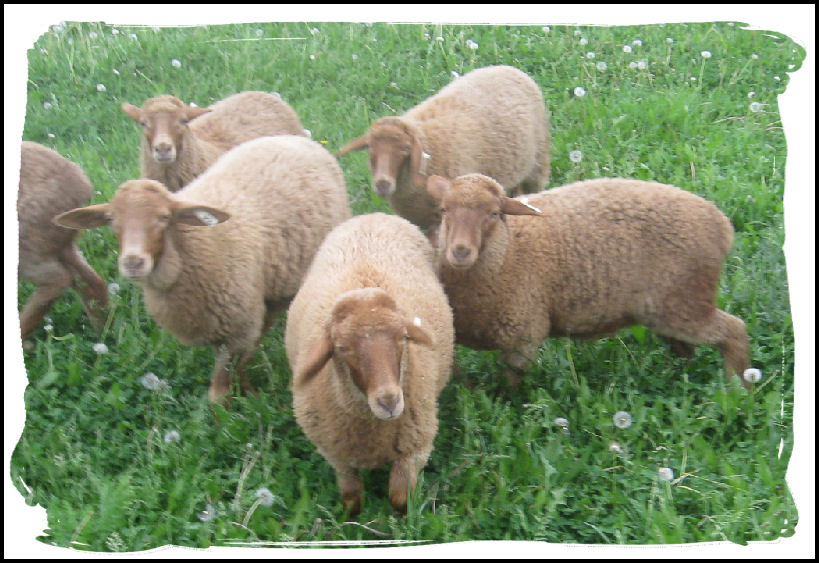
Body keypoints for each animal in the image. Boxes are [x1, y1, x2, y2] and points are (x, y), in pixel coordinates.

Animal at [17, 141, 109, 344]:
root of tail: (83, 187)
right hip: (60, 244)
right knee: (90, 283)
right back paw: (101, 332)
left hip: (26, 246)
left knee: (59, 279)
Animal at [53, 135, 352, 402]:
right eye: (112, 220)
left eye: (164, 218)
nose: (133, 262)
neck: (190, 245)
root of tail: (297, 138)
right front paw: (245, 392)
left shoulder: (236, 326)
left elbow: (218, 391)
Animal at [285, 213, 454, 516]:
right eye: (341, 349)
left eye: (403, 338)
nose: (389, 402)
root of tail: (372, 215)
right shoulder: (337, 456)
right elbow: (351, 498)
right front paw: (351, 522)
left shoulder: (416, 449)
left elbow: (399, 496)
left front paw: (404, 521)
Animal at [426, 173, 751, 389]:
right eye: (443, 210)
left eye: (493, 213)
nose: (460, 251)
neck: (509, 253)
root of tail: (721, 224)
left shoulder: (524, 335)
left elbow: (511, 383)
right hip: (667, 309)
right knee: (686, 348)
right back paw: (680, 379)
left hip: (686, 301)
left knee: (734, 330)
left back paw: (739, 388)